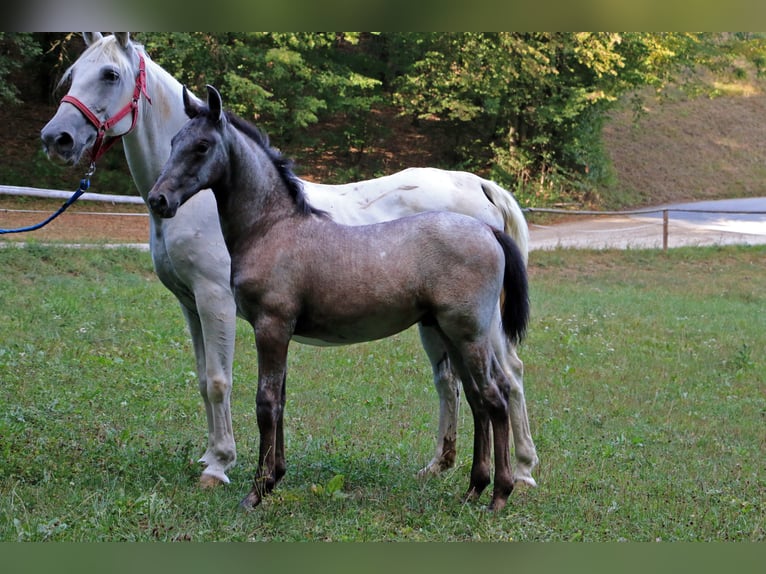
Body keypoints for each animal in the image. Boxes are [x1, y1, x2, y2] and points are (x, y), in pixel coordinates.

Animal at [37, 32, 540, 490]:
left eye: (110, 74)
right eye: (71, 74)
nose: (57, 138)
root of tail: (478, 186)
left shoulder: (216, 300)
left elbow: (220, 381)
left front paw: (220, 465)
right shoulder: (189, 303)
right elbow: (206, 380)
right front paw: (213, 456)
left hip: (479, 325)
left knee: (510, 378)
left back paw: (522, 471)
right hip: (436, 325)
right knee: (450, 383)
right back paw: (440, 466)